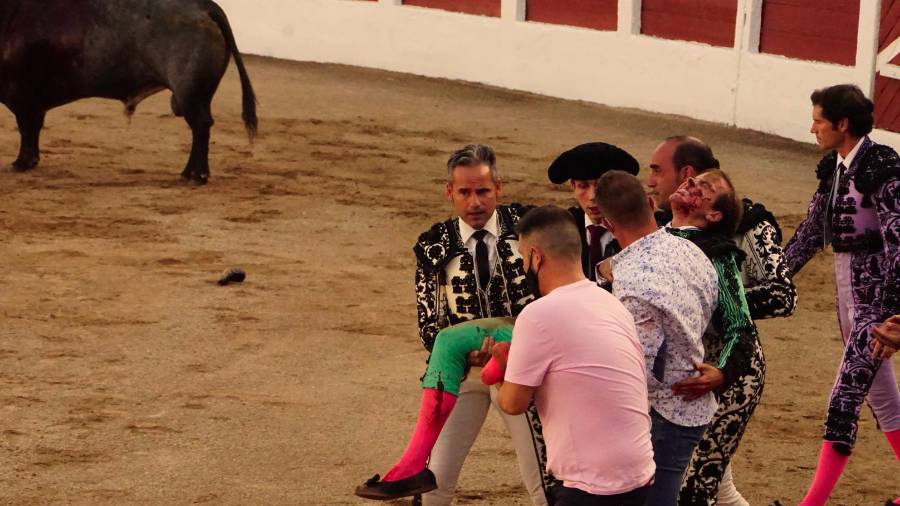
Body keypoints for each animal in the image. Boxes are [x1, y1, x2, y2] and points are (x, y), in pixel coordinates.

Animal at [0, 0, 256, 184]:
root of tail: (205, 5)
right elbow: (32, 130)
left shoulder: (25, 97)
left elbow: (27, 130)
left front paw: (22, 162)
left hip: (190, 94)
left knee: (201, 127)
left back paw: (196, 175)